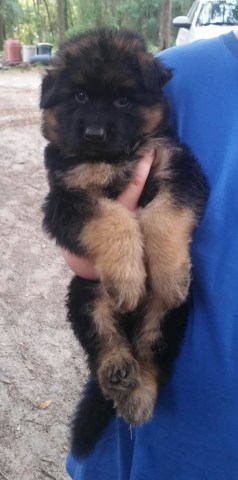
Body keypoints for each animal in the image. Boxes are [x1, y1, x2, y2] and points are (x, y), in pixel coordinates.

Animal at [40, 29, 208, 458]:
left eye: (123, 100)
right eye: (80, 96)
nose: (94, 134)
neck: (114, 158)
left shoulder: (178, 169)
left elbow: (161, 216)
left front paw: (168, 274)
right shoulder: (65, 199)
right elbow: (114, 219)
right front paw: (130, 280)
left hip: (168, 317)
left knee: (152, 354)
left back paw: (139, 394)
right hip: (84, 292)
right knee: (103, 339)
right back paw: (117, 370)